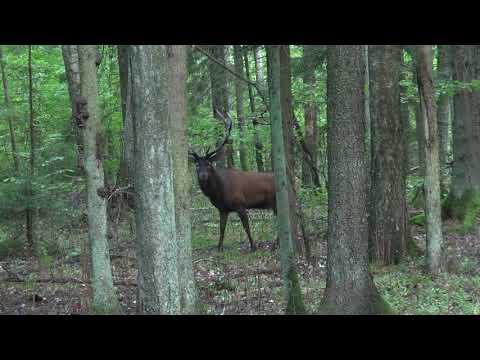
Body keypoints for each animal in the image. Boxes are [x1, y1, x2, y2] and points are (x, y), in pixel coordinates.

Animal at [189, 112, 276, 253]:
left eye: (209, 164)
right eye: (197, 165)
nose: (203, 175)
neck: (219, 192)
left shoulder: (240, 204)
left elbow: (246, 227)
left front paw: (253, 247)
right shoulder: (222, 209)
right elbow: (222, 229)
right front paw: (219, 248)